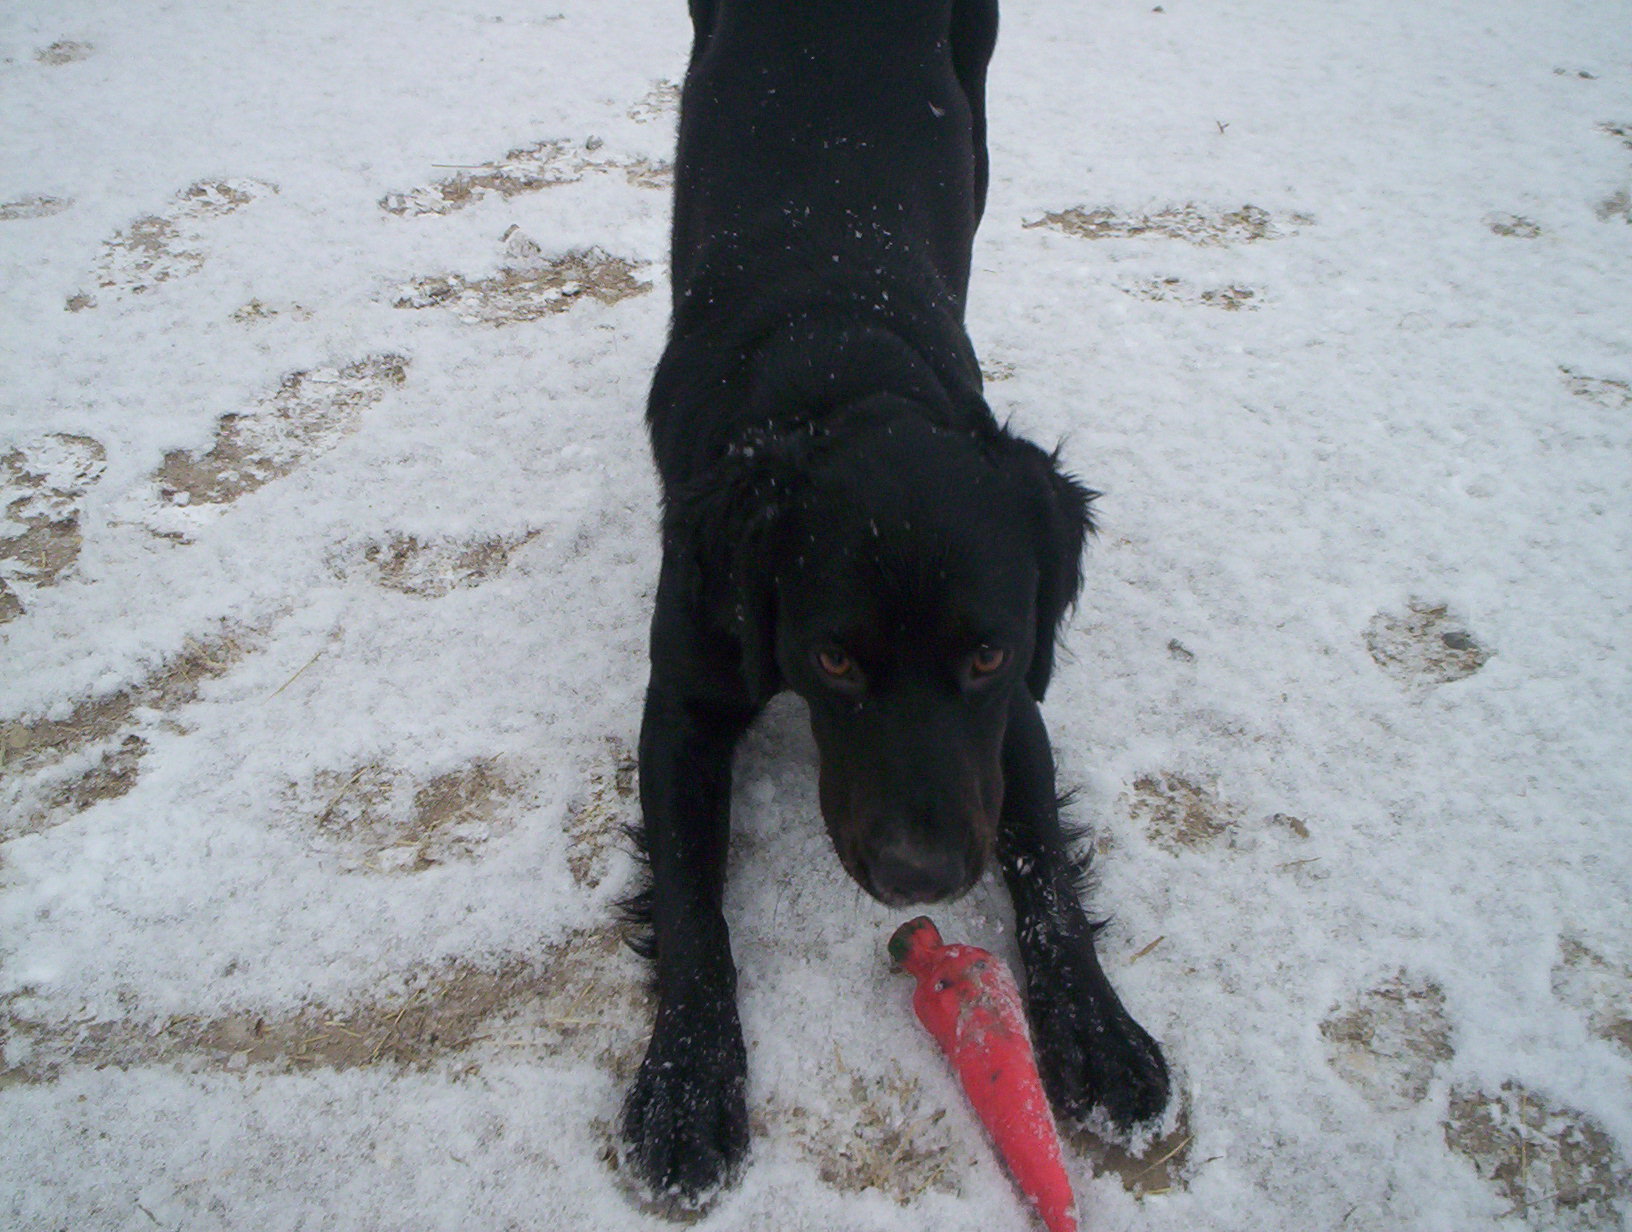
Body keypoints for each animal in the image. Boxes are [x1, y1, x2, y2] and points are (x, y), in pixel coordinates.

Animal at [616, 0, 1168, 1200]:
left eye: (983, 658)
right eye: (833, 660)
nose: (923, 876)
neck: (840, 366)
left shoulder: (1013, 710)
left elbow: (1045, 860)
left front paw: (1099, 1030)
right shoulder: (682, 696)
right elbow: (687, 899)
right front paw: (685, 1083)